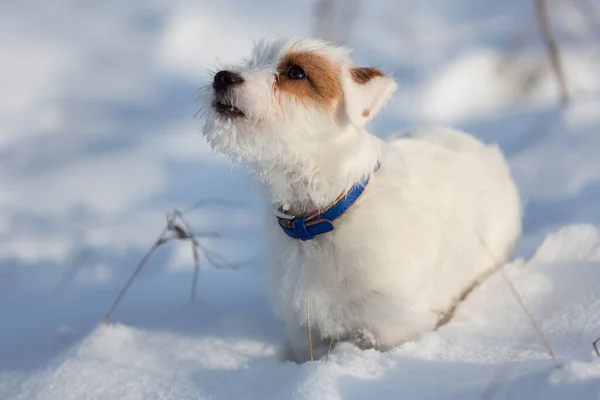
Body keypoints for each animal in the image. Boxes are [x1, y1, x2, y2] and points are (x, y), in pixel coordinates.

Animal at [200, 37, 520, 362]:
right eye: (252, 61)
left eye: (296, 73)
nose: (222, 77)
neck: (324, 214)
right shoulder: (304, 330)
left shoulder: (392, 328)